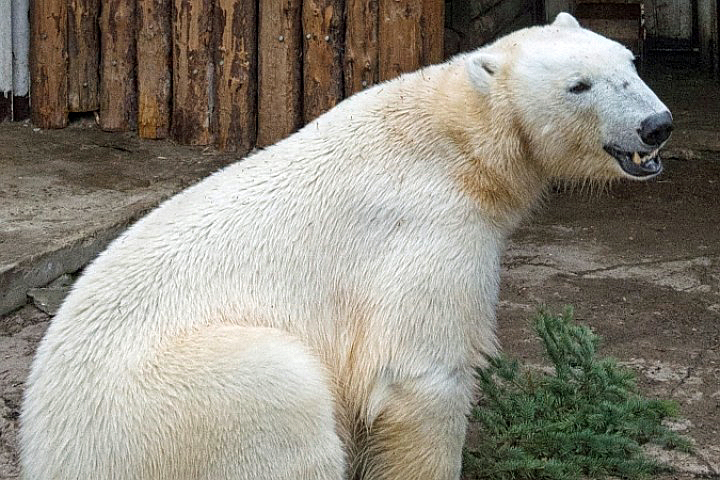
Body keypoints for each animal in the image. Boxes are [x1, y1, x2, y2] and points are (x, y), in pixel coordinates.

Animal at [21, 11, 668, 480]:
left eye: (630, 63)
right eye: (578, 85)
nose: (656, 125)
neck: (456, 143)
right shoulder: (426, 234)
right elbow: (422, 374)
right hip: (178, 402)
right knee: (280, 399)